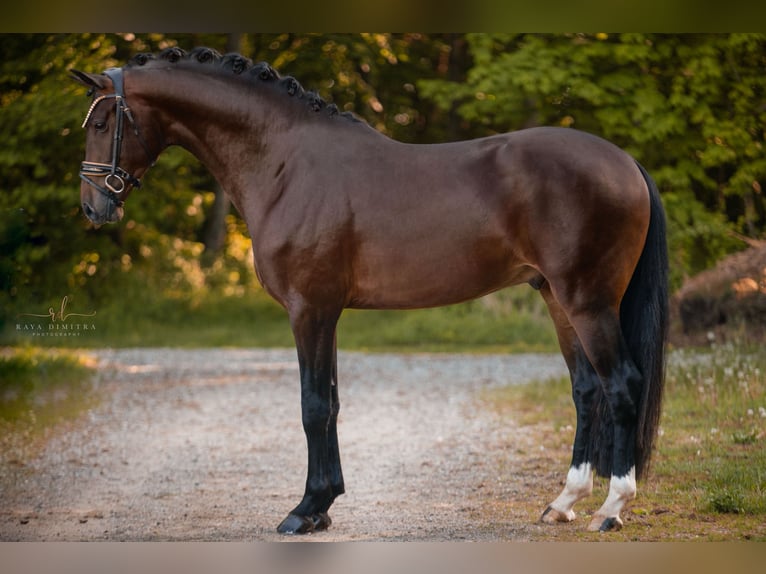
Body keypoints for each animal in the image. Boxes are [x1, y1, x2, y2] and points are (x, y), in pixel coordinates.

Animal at [71, 46, 668, 535]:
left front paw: (305, 510)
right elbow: (332, 403)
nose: (94, 207)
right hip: (556, 298)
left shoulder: (309, 309)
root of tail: (626, 162)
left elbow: (312, 406)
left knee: (621, 385)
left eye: (102, 121)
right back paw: (563, 502)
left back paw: (611, 509)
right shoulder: (326, 312)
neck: (284, 162)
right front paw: (324, 505)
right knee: (586, 389)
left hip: (588, 302)